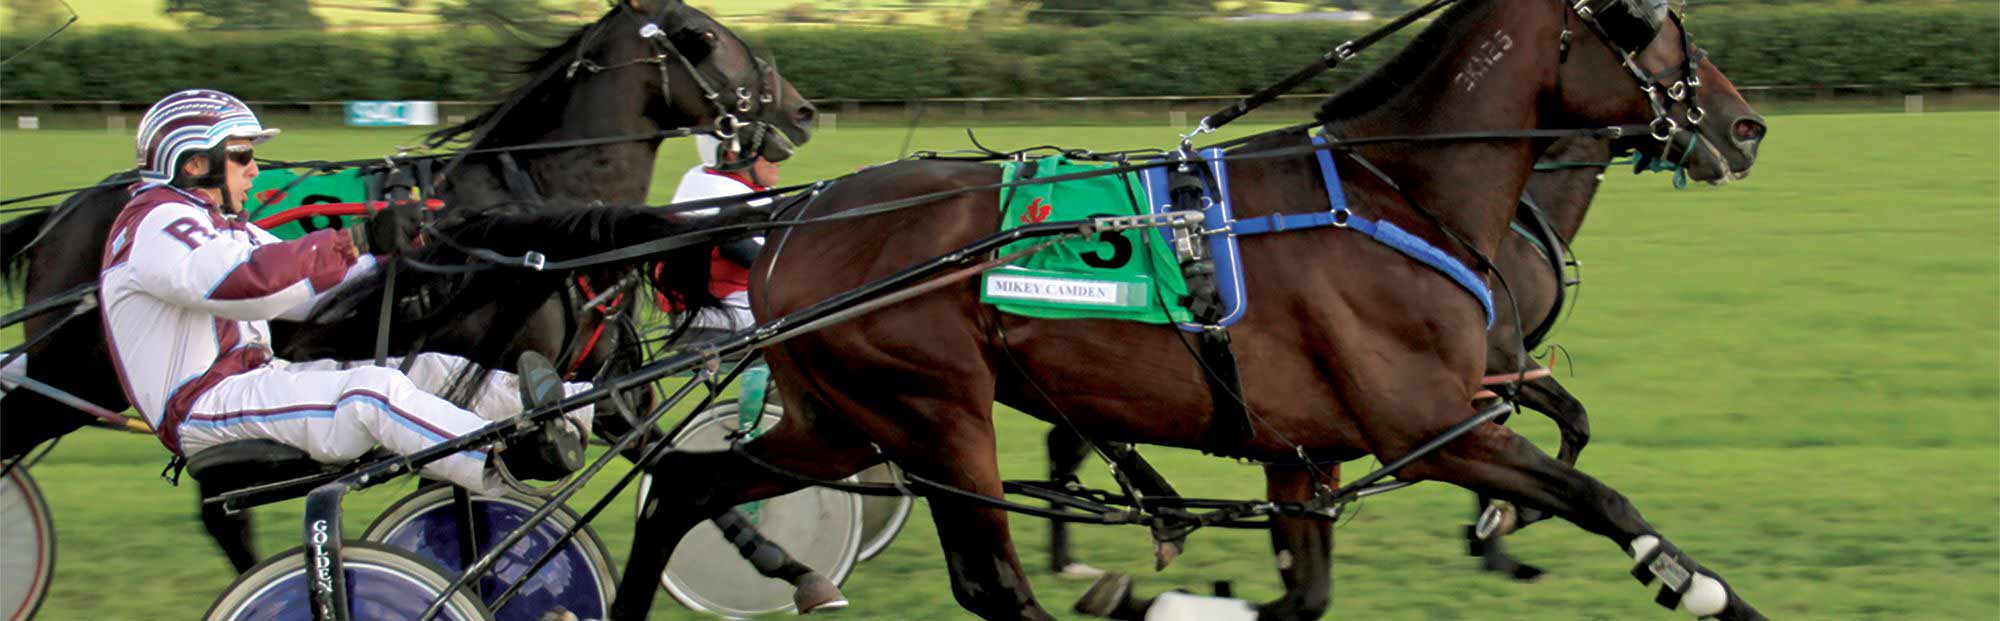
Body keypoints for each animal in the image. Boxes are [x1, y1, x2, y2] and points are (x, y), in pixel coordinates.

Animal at [0, 0, 829, 600]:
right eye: (701, 35)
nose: (800, 109)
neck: (537, 192)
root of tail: (69, 210)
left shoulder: (601, 385)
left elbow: (672, 468)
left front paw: (790, 564)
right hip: (74, 373)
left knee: (216, 507)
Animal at [616, 2, 1770, 620]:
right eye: (1653, 25)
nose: (1743, 125)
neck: (1395, 195)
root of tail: (798, 217)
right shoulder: (1437, 428)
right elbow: (1606, 500)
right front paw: (1703, 587)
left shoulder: (1306, 452)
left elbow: (1301, 595)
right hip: (936, 415)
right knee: (992, 584)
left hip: (842, 420)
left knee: (682, 488)